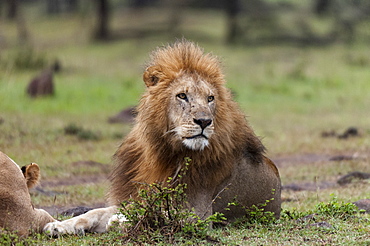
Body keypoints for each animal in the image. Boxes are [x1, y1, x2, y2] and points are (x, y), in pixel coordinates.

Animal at [43, 40, 280, 236]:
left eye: (210, 98)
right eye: (182, 96)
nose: (204, 121)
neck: (164, 150)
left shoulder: (198, 214)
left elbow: (154, 213)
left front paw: (119, 221)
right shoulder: (135, 194)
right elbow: (95, 212)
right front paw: (58, 225)